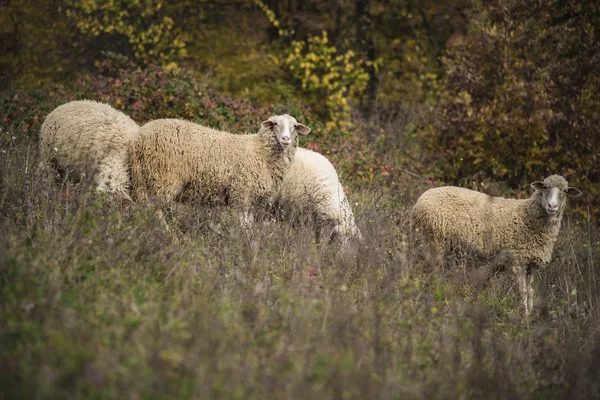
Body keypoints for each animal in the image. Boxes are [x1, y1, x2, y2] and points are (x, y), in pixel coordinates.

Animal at [129, 114, 312, 230]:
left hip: (143, 177)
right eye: (275, 124)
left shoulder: (250, 199)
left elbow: (250, 224)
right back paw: (167, 235)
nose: (286, 139)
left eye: (294, 126)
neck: (260, 151)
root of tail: (139, 137)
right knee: (154, 209)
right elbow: (244, 225)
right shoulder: (241, 193)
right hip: (164, 177)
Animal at [412, 173, 580, 314]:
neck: (527, 216)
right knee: (431, 272)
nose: (552, 207)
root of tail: (421, 198)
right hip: (433, 241)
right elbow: (523, 292)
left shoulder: (531, 263)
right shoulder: (517, 260)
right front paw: (524, 317)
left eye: (564, 191)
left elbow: (530, 290)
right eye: (545, 188)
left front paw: (531, 315)